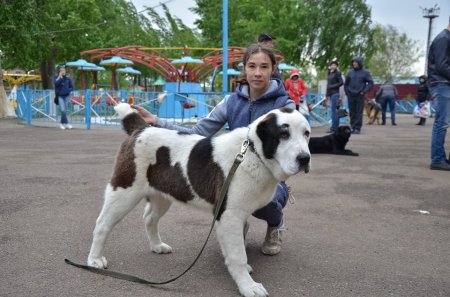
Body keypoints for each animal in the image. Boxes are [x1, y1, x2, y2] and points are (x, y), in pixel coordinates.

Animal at [89, 102, 312, 296]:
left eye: (306, 134)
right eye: (283, 134)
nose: (305, 159)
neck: (253, 153)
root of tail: (142, 128)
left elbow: (238, 245)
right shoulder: (230, 215)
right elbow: (238, 254)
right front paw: (248, 286)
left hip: (162, 195)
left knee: (150, 218)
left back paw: (157, 246)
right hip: (124, 191)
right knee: (102, 224)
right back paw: (95, 260)